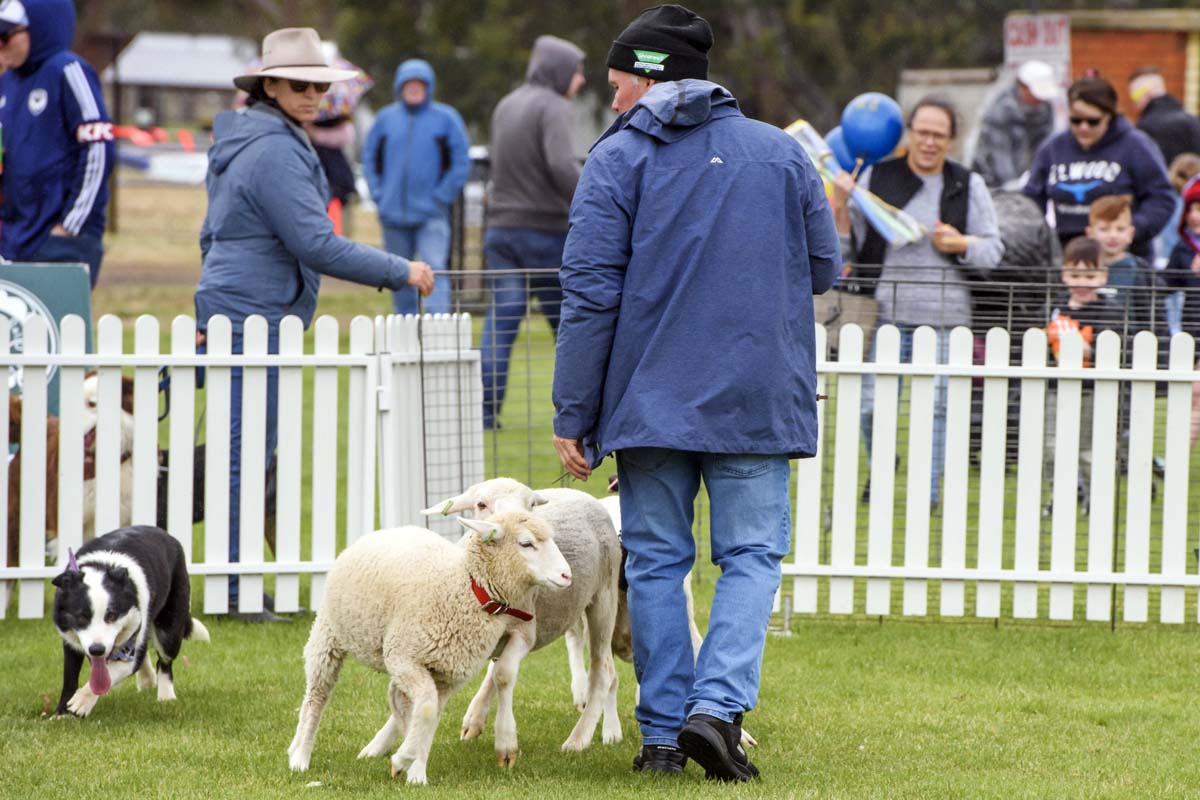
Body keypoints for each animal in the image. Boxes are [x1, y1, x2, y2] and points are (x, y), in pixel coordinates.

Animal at [289, 510, 571, 786]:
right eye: (526, 543)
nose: (567, 575)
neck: (466, 588)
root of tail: (386, 530)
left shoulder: (449, 674)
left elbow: (430, 714)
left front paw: (415, 771)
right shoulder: (404, 657)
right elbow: (426, 710)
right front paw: (404, 759)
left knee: (397, 698)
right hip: (328, 634)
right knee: (316, 696)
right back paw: (300, 756)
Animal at [422, 479, 624, 767]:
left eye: (530, 505)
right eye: (481, 504)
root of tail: (576, 491)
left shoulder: (525, 631)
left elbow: (504, 674)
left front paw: (506, 742)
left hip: (604, 598)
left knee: (603, 670)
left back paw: (580, 738)